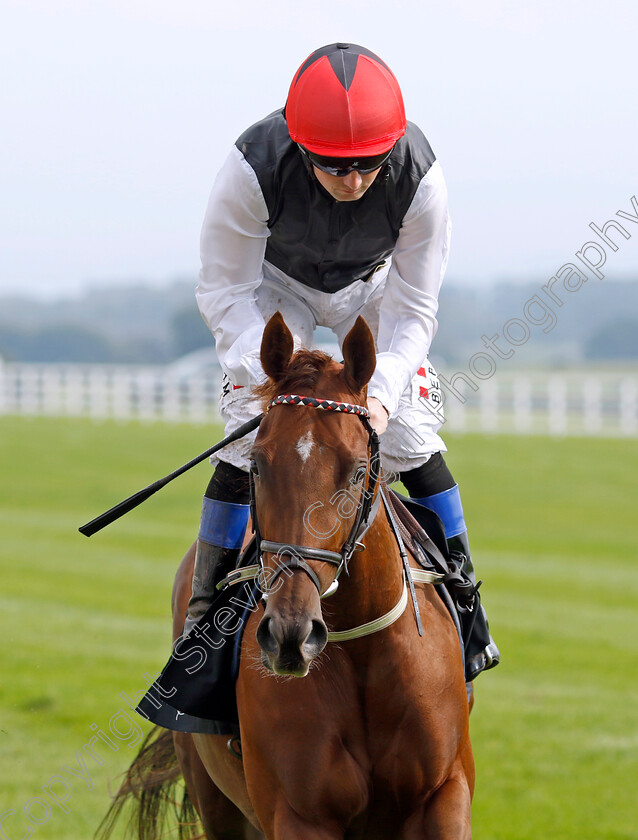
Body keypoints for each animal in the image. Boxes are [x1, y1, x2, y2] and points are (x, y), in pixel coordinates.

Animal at [101, 314, 476, 840]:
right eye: (257, 466)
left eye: (358, 471)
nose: (290, 633)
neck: (362, 653)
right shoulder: (299, 813)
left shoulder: (444, 794)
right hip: (213, 793)